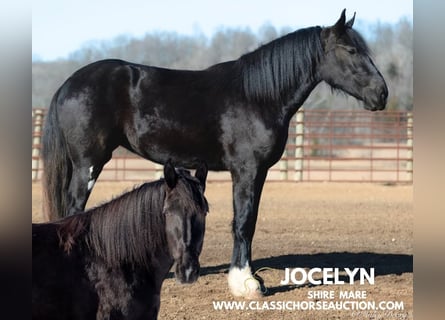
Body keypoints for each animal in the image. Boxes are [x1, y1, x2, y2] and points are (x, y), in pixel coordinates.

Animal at [43, 10, 386, 298]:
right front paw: (245, 282)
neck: (257, 97)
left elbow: (250, 220)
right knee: (74, 210)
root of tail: (68, 84)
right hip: (88, 164)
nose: (381, 94)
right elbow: (243, 221)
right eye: (351, 51)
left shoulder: (259, 173)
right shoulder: (246, 170)